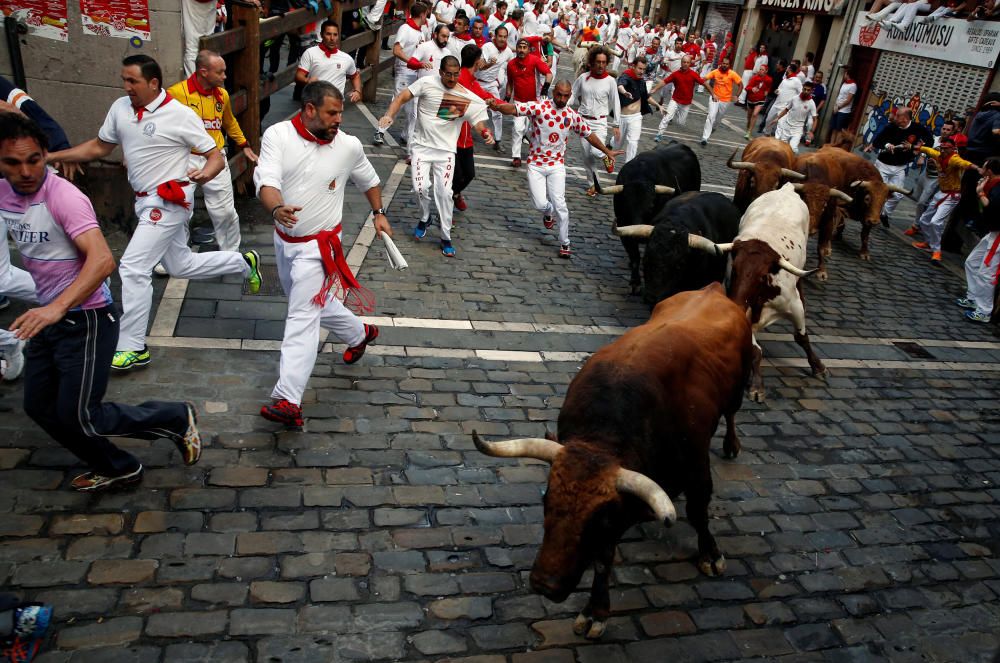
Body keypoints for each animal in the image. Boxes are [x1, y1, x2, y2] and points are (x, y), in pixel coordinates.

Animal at [470, 284, 752, 640]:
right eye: (546, 502)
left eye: (599, 518)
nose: (545, 585)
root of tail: (712, 288)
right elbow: (603, 558)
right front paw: (596, 610)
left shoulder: (696, 467)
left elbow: (698, 512)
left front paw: (710, 553)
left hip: (737, 392)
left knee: (732, 415)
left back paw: (732, 444)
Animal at [592, 144, 704, 294]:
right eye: (626, 205)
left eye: (651, 205)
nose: (638, 236)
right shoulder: (623, 227)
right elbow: (635, 257)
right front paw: (635, 283)